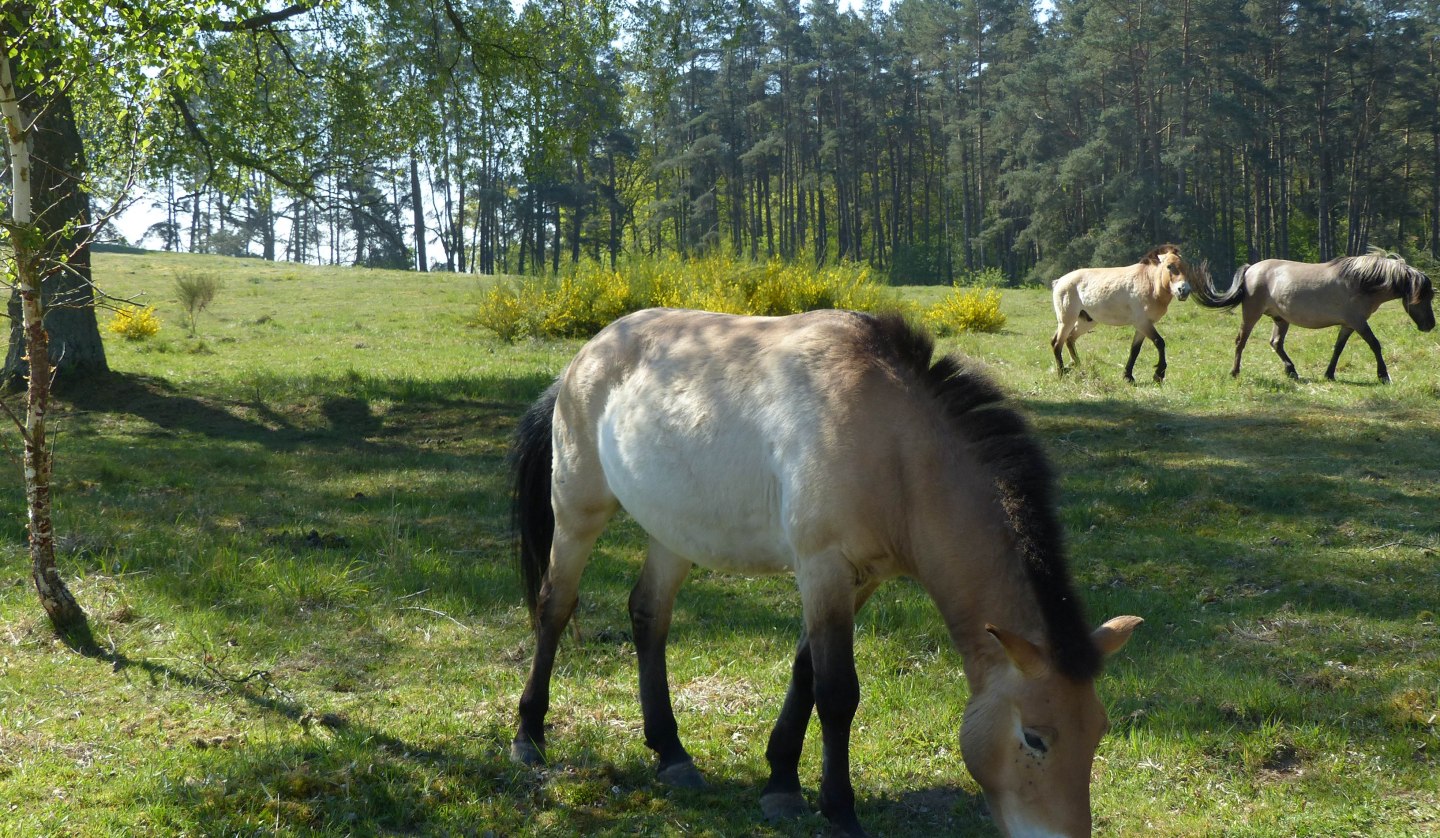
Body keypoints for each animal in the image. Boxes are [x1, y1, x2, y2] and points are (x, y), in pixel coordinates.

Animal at [512, 308, 1140, 838]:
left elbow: (805, 670)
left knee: (648, 616)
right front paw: (839, 809)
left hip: (672, 532)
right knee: (554, 607)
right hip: (577, 513)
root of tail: (583, 357)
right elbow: (838, 691)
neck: (896, 448)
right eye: (1034, 738)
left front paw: (782, 782)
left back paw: (671, 753)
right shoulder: (822, 567)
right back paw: (529, 735)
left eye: (1099, 730)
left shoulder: (860, 578)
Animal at [1048, 244, 1203, 385]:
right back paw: (1061, 374)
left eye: (1186, 267)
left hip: (1086, 321)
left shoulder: (1143, 325)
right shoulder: (1142, 323)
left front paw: (1128, 376)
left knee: (1070, 339)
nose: (1184, 290)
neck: (1150, 283)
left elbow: (1135, 350)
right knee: (1057, 343)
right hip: (1066, 320)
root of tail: (1059, 281)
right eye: (1169, 266)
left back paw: (1077, 367)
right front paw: (1158, 374)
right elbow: (1159, 342)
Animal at [1192, 249, 1440, 380]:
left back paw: (1291, 371)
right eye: (1422, 298)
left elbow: (1338, 348)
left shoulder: (1349, 324)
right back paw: (1235, 372)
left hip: (1281, 319)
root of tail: (1251, 269)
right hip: (1251, 315)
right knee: (1241, 341)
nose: (1430, 325)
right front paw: (1383, 375)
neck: (1361, 282)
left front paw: (1329, 374)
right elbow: (1375, 345)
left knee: (1276, 343)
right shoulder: (1359, 322)